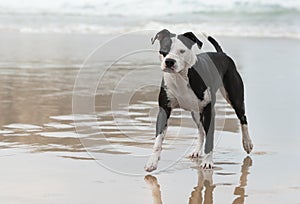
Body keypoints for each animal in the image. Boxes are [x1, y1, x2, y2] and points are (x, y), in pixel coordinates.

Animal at [145, 29, 253, 172]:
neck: (181, 77)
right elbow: (158, 139)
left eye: (182, 51)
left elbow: (210, 138)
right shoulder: (164, 109)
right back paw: (197, 151)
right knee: (201, 131)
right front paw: (152, 162)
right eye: (164, 50)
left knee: (242, 118)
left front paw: (207, 162)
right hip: (195, 112)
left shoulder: (208, 111)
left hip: (235, 98)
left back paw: (247, 143)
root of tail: (221, 54)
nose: (169, 61)